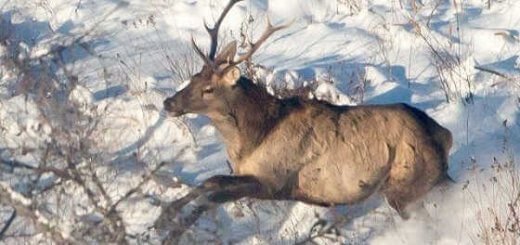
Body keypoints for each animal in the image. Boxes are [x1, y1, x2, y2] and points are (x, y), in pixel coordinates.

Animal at [154, 0, 450, 241]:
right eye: (194, 77)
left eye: (209, 89)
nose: (168, 103)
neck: (252, 139)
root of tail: (444, 135)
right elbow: (211, 181)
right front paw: (163, 218)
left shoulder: (274, 181)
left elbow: (214, 195)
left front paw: (172, 231)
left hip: (405, 185)